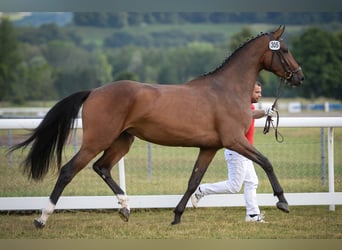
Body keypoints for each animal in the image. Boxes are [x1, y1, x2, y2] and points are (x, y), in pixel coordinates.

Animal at [11, 25, 304, 229]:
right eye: (284, 50)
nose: (299, 77)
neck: (226, 89)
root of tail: (94, 91)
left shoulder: (209, 147)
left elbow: (193, 181)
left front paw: (176, 216)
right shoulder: (234, 140)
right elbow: (266, 162)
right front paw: (282, 201)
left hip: (122, 141)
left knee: (102, 167)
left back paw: (125, 208)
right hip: (97, 141)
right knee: (68, 171)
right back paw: (42, 219)